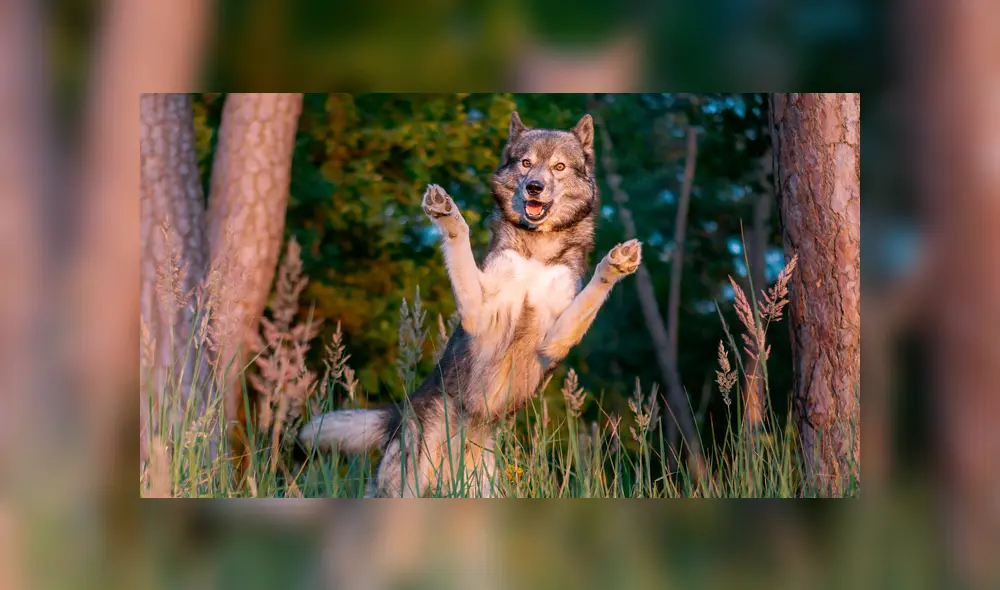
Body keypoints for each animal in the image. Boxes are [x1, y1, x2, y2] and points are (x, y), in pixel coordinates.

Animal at [299, 111, 642, 497]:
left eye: (559, 166)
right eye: (526, 163)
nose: (534, 186)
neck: (535, 251)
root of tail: (400, 415)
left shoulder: (555, 340)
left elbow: (594, 292)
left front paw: (615, 264)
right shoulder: (479, 314)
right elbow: (459, 238)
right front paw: (447, 214)